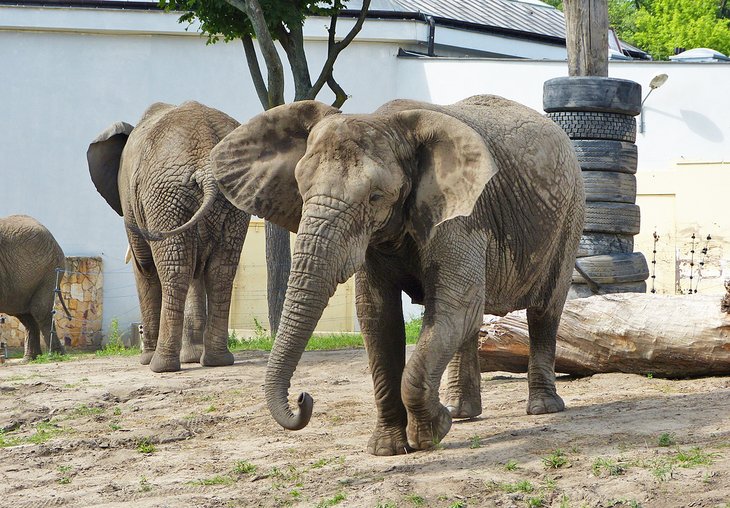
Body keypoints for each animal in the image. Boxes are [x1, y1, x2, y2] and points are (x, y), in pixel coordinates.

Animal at [86, 102, 247, 374]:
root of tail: (206, 166)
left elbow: (144, 267)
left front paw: (148, 359)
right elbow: (196, 271)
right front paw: (191, 357)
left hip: (164, 196)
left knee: (173, 270)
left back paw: (160, 365)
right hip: (223, 198)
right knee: (220, 272)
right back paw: (217, 361)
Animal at [212, 95, 584, 456]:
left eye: (375, 197)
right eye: (301, 191)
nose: (303, 398)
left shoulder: (459, 216)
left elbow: (451, 308)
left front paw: (433, 432)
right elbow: (379, 319)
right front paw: (388, 449)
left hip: (571, 214)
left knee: (544, 309)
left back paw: (542, 409)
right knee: (470, 322)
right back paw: (463, 413)